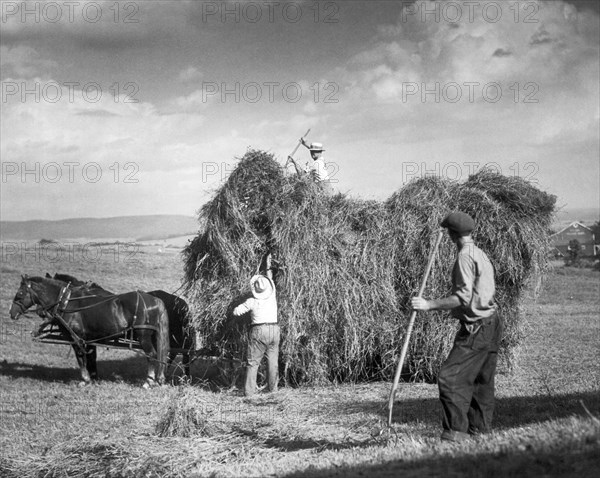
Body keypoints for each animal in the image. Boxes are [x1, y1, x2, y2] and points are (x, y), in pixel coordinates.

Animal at [9, 276, 169, 388]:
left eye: (20, 293)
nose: (12, 313)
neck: (67, 303)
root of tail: (155, 300)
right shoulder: (90, 339)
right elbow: (91, 358)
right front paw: (93, 378)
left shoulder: (76, 338)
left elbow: (81, 358)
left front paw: (85, 379)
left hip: (144, 336)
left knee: (151, 354)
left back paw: (148, 381)